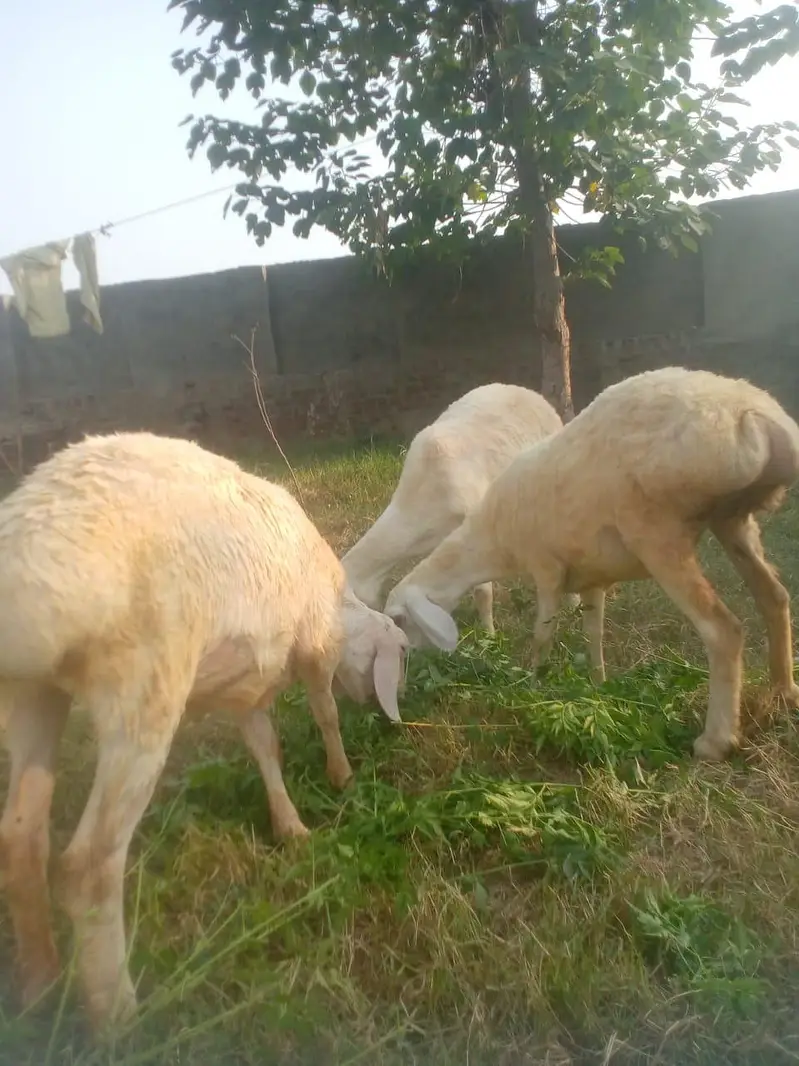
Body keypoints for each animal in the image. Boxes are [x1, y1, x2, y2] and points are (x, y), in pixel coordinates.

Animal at [0, 430, 407, 1035]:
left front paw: (290, 827)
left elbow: (265, 747)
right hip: (146, 684)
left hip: (33, 695)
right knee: (87, 865)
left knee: (21, 838)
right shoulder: (315, 645)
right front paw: (342, 776)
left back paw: (39, 989)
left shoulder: (248, 694)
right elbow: (325, 711)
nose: (387, 717)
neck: (340, 603)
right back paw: (119, 1018)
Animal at [384, 366, 799, 762]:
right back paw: (784, 691)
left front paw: (530, 684)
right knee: (775, 597)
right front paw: (599, 686)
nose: (403, 686)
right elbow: (593, 633)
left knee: (723, 630)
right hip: (733, 519)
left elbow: (543, 634)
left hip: (658, 532)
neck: (493, 539)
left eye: (400, 622)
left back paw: (716, 740)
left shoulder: (546, 568)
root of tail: (759, 419)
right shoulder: (591, 578)